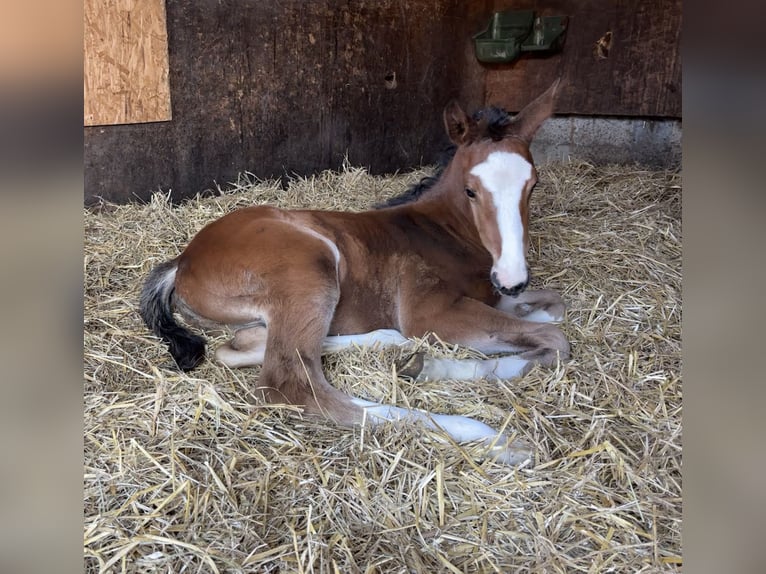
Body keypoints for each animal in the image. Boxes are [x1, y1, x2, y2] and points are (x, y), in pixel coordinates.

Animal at [139, 79, 569, 466]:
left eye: (533, 184)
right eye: (471, 190)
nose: (512, 278)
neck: (442, 232)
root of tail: (183, 260)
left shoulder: (493, 296)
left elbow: (553, 308)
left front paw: (427, 362)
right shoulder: (429, 313)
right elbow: (555, 339)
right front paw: (433, 367)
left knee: (247, 345)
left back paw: (387, 342)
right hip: (311, 266)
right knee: (292, 383)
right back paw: (490, 438)